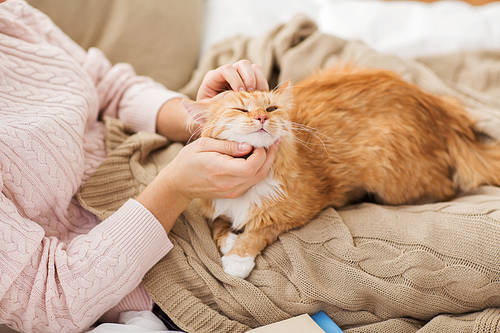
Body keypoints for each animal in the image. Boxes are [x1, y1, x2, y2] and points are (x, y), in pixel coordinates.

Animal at [184, 65, 500, 278]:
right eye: (240, 110)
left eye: (271, 108)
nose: (262, 117)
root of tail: (439, 110)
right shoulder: (210, 202)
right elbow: (218, 224)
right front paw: (229, 240)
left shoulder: (297, 210)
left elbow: (259, 230)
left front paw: (237, 258)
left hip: (392, 179)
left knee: (446, 188)